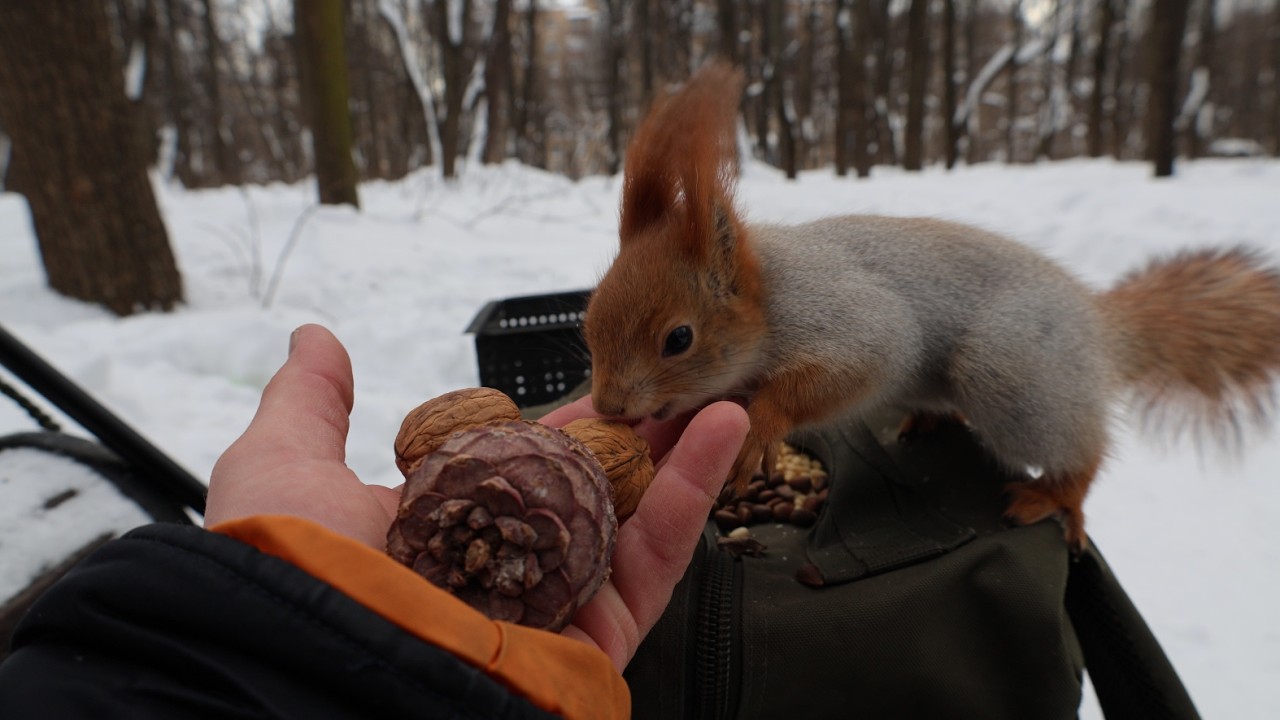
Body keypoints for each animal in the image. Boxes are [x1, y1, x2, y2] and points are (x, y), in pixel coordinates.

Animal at [581, 61, 1280, 550]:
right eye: (586, 323)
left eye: (678, 338)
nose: (609, 406)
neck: (772, 293)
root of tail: (1099, 323)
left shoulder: (850, 316)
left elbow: (863, 356)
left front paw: (762, 423)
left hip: (1012, 368)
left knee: (1081, 450)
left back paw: (1058, 495)